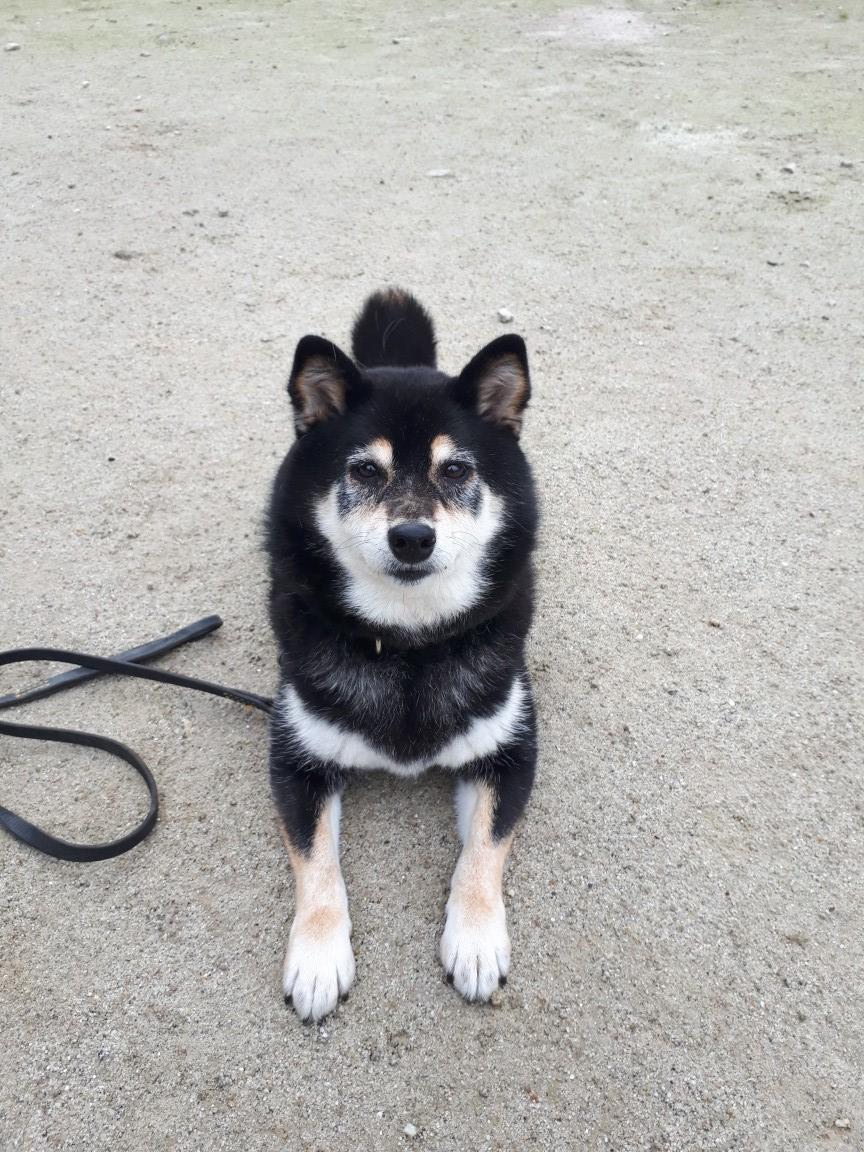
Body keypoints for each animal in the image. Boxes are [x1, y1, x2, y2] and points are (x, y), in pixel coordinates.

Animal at [266, 288, 538, 1021]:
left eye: (456, 470)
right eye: (364, 470)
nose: (412, 536)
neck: (408, 645)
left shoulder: (510, 746)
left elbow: (485, 851)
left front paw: (475, 941)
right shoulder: (296, 756)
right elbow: (317, 867)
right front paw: (318, 957)